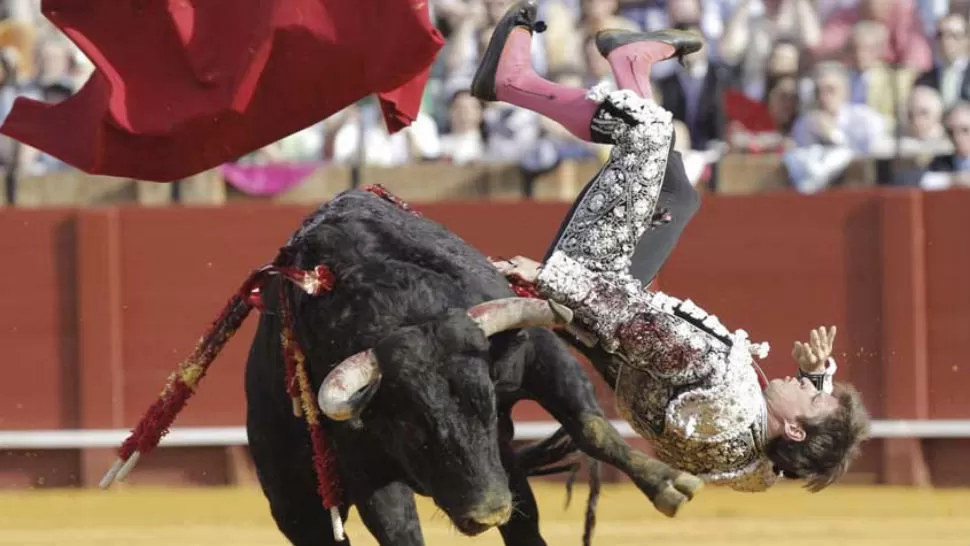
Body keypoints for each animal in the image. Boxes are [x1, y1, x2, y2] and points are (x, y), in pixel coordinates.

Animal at [240, 185, 704, 540]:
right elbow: (400, 530)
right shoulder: (365, 463)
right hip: (298, 508)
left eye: (489, 406)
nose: (488, 513)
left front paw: (668, 483)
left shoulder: (538, 354)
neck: (406, 310)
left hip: (503, 463)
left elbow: (591, 427)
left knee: (525, 519)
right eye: (409, 427)